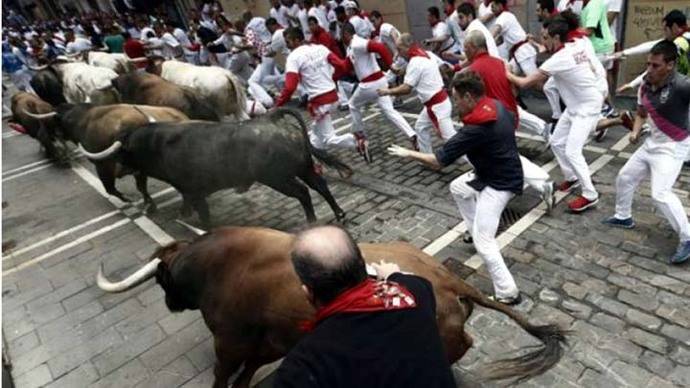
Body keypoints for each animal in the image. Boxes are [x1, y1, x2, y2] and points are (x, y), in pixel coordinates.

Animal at [26, 101, 188, 208]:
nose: (43, 135)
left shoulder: (102, 166)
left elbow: (109, 187)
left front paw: (128, 199)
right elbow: (139, 187)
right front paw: (147, 204)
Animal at [79, 109, 350, 224]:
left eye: (124, 150)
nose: (117, 172)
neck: (157, 145)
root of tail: (273, 120)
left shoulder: (194, 191)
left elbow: (203, 213)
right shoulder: (187, 191)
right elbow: (186, 204)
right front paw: (183, 214)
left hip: (279, 178)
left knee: (304, 193)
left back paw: (312, 221)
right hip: (304, 168)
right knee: (320, 186)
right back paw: (339, 214)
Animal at [98, 226, 564, 388]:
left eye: (162, 278)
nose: (169, 303)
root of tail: (450, 279)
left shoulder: (228, 341)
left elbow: (222, 375)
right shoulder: (268, 342)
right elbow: (247, 373)